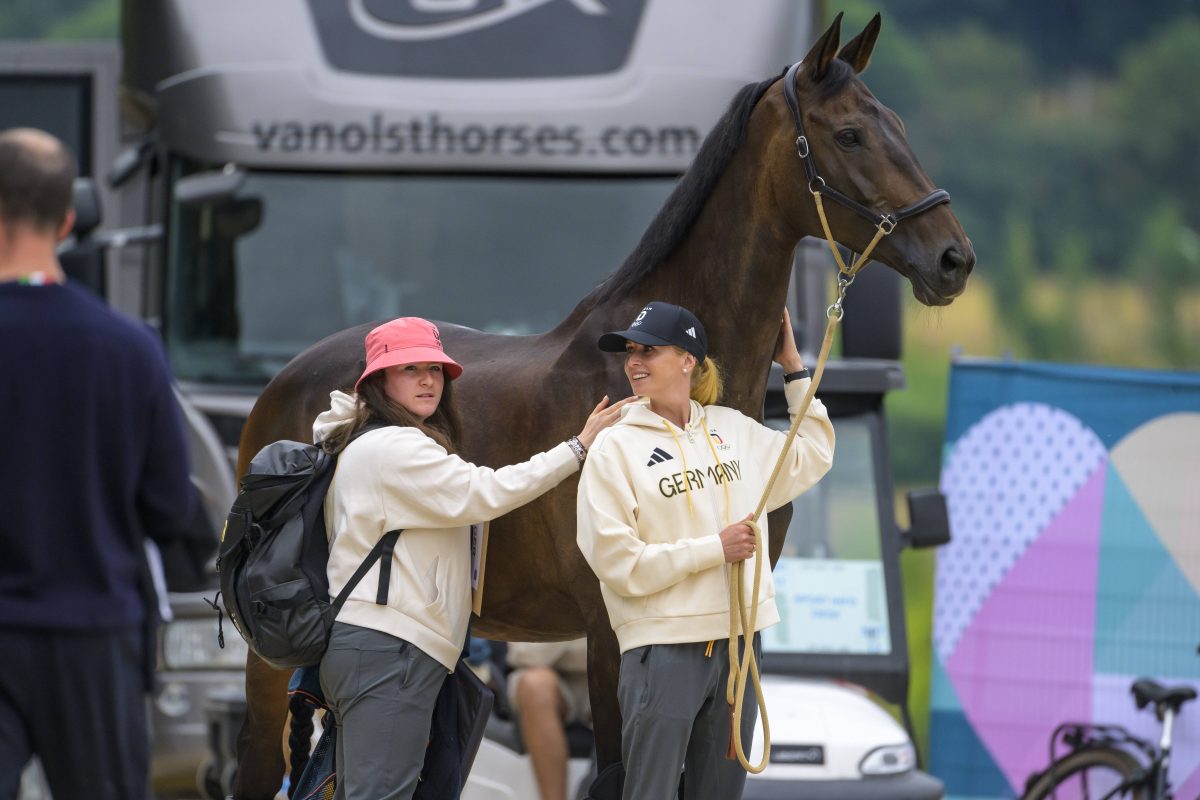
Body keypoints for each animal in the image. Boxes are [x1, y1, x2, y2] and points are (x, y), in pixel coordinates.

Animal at [231, 14, 974, 800]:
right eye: (850, 134)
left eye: (897, 125)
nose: (953, 258)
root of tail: (287, 383)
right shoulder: (611, 634)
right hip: (271, 666)